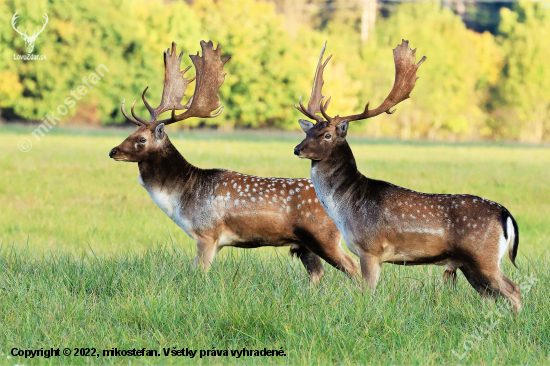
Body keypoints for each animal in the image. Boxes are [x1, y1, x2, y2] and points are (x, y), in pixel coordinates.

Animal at [109, 41, 362, 284]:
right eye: (131, 133)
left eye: (142, 139)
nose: (113, 151)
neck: (181, 195)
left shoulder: (207, 233)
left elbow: (198, 273)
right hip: (304, 244)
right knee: (317, 273)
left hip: (324, 236)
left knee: (353, 266)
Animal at [294, 41, 520, 314]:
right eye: (309, 131)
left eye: (327, 135)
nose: (298, 149)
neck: (347, 206)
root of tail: (506, 214)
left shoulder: (370, 249)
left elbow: (366, 292)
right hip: (471, 264)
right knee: (491, 296)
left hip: (482, 256)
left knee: (513, 290)